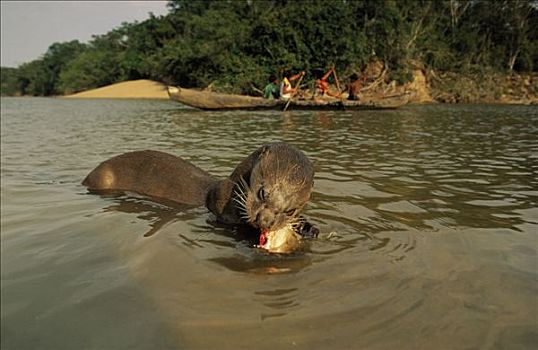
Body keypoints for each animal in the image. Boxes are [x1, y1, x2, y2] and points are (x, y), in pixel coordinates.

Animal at [82, 142, 316, 252]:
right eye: (262, 192)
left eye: (290, 210)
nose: (265, 221)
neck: (229, 193)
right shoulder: (221, 208)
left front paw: (308, 228)